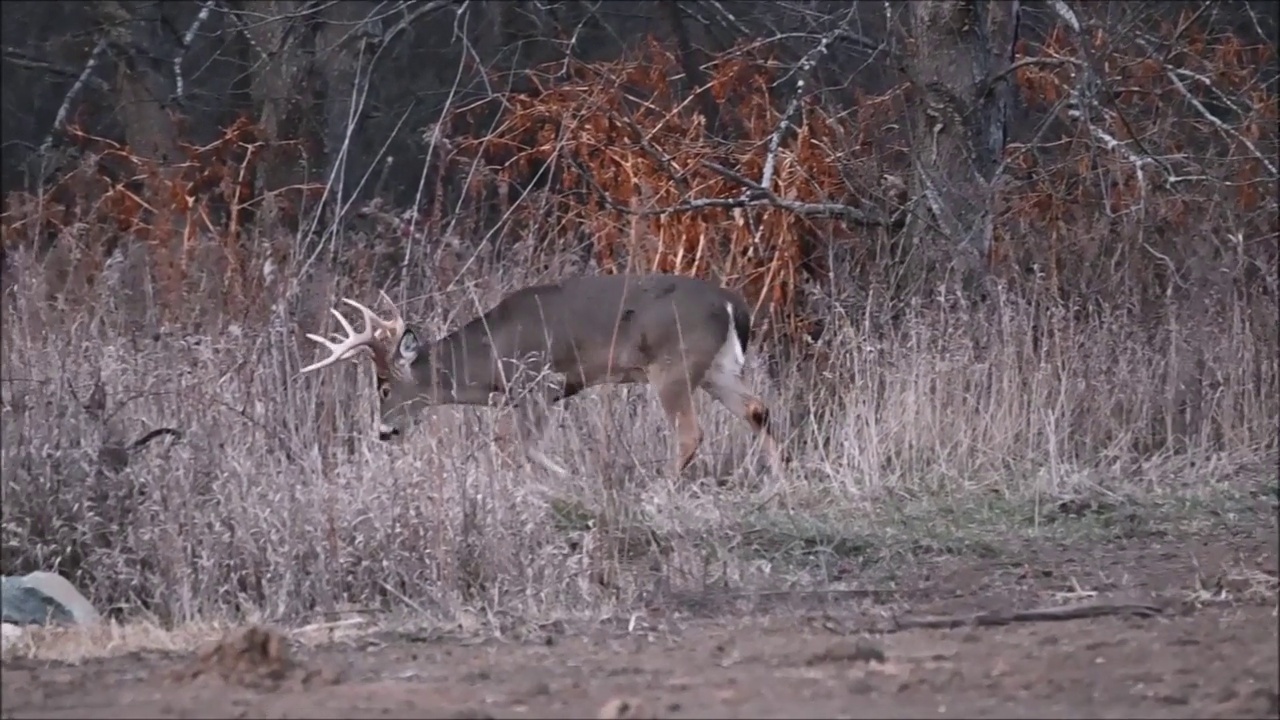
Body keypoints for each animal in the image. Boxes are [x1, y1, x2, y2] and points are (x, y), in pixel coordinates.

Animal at [302, 274, 778, 476]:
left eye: (384, 387)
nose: (384, 432)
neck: (490, 359)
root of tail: (733, 304)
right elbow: (511, 442)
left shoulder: (536, 380)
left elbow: (516, 443)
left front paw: (565, 479)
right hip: (715, 368)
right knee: (758, 408)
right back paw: (780, 476)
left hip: (672, 364)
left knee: (689, 432)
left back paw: (664, 484)